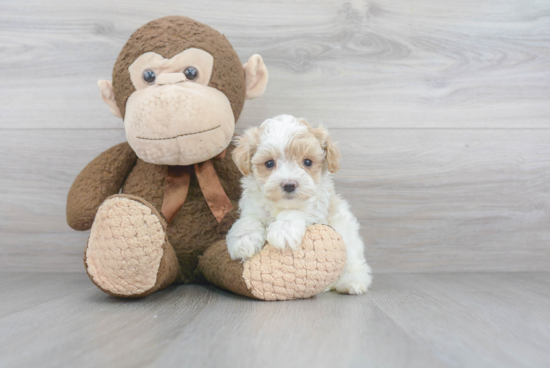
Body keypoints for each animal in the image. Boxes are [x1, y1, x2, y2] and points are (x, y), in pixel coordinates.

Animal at [226, 113, 374, 294]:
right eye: (269, 163)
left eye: (308, 162)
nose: (289, 184)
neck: (282, 204)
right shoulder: (253, 207)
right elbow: (249, 220)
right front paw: (243, 240)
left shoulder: (317, 208)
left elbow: (295, 213)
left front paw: (283, 231)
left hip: (350, 241)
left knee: (354, 263)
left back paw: (352, 282)